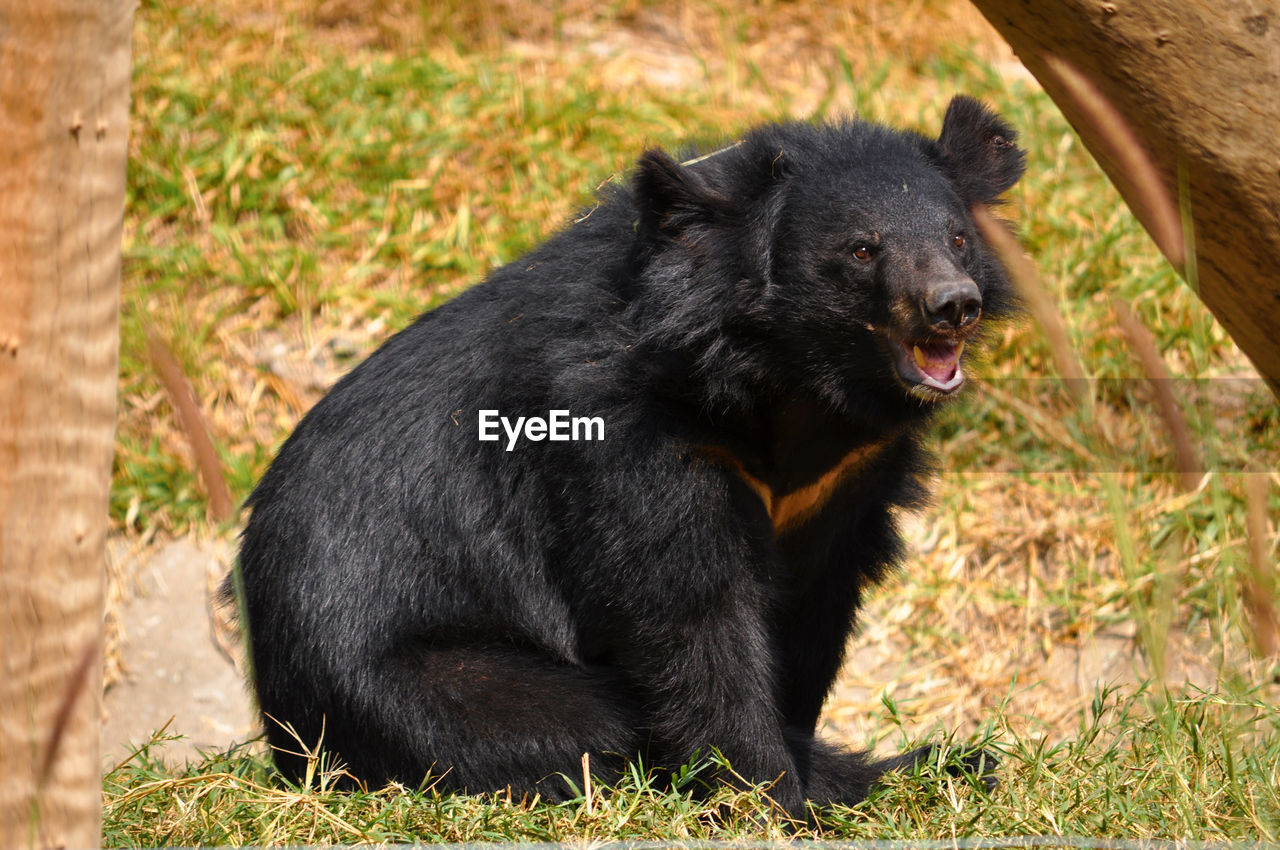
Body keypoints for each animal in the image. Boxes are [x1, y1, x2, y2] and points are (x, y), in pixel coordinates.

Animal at [235, 94, 1024, 819]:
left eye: (957, 238)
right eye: (863, 249)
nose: (953, 304)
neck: (789, 377)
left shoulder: (846, 479)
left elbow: (812, 608)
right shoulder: (631, 434)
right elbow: (692, 615)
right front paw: (767, 794)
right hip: (416, 683)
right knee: (580, 725)